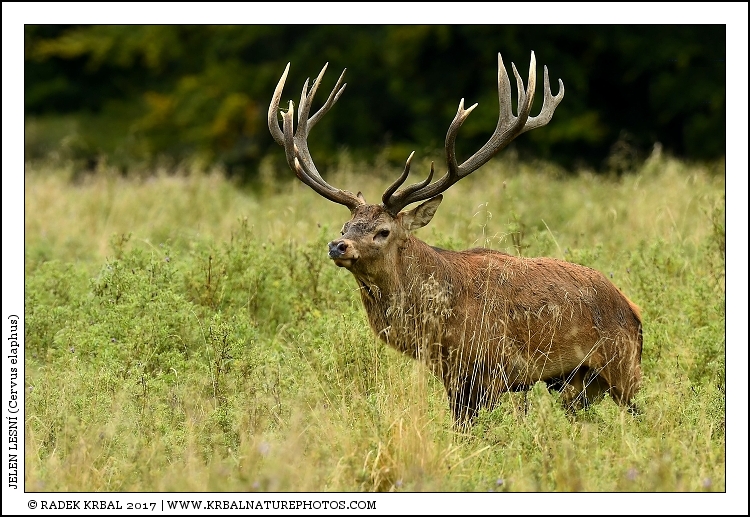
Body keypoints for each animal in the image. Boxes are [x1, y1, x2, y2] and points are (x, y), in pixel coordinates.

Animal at [268, 52, 643, 426]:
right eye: (346, 227)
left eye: (383, 231)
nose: (337, 246)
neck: (438, 324)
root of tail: (633, 310)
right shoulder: (451, 375)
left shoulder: (493, 368)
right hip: (576, 383)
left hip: (623, 366)